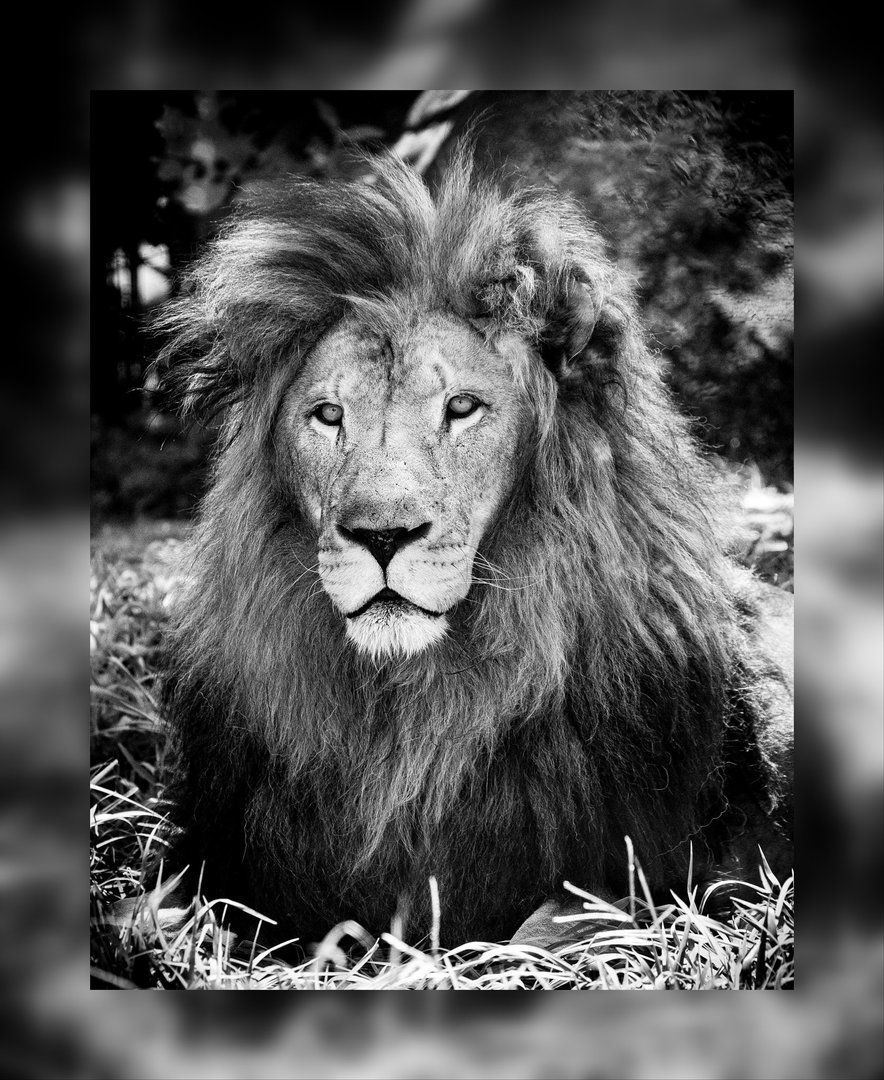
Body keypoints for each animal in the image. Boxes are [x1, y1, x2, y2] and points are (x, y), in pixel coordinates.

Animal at [151, 145, 792, 950]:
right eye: (327, 415)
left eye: (462, 408)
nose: (381, 534)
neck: (417, 708)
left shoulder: (668, 873)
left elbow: (539, 933)